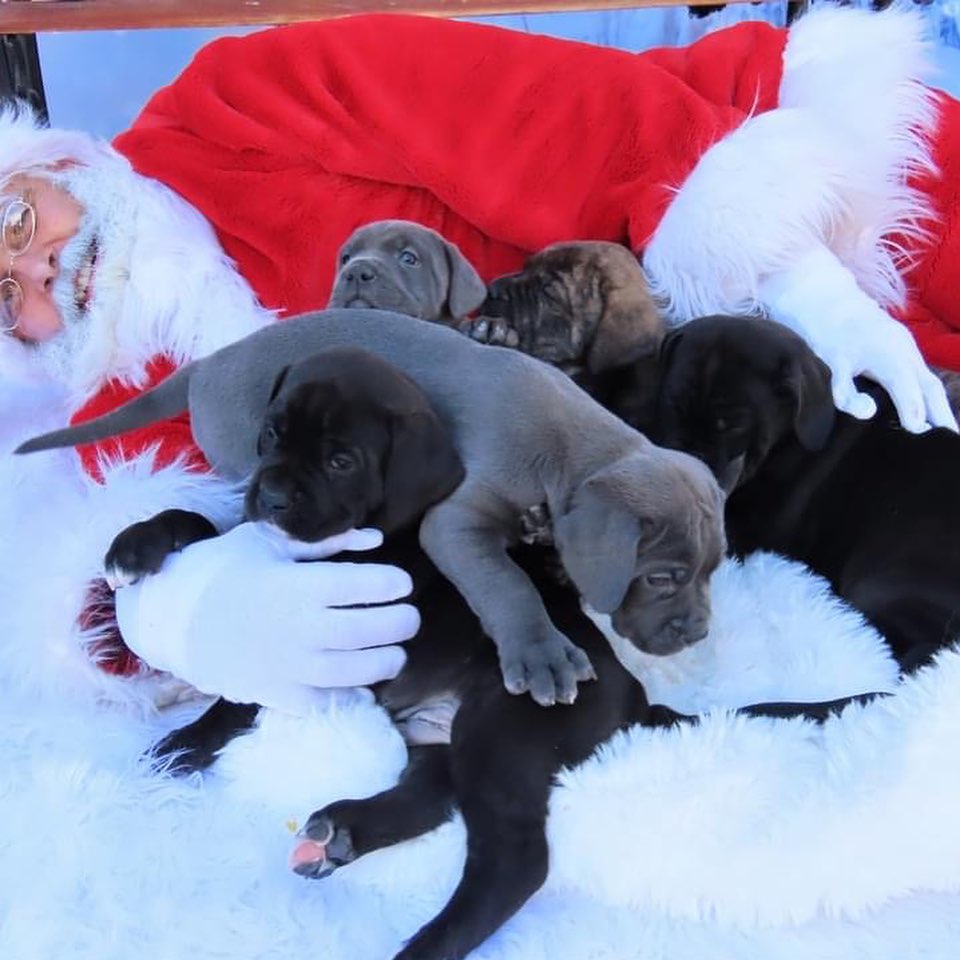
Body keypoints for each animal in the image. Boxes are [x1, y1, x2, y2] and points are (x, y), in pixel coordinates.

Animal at [18, 312, 724, 708]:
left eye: (713, 570)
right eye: (660, 577)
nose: (698, 632)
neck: (571, 449)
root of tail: (207, 364)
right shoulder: (453, 523)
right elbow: (507, 585)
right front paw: (540, 650)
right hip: (241, 452)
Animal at [109, 348, 880, 960]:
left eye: (340, 459)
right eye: (270, 435)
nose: (267, 494)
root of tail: (632, 694)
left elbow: (241, 690)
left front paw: (182, 743)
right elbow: (201, 523)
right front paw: (137, 544)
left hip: (499, 733)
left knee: (515, 861)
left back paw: (423, 948)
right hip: (441, 734)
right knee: (429, 798)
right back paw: (343, 834)